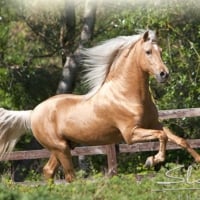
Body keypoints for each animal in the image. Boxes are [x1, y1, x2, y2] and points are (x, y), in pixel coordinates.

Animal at [0, 30, 200, 182]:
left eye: (161, 50)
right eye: (148, 51)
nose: (164, 74)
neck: (126, 95)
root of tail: (32, 112)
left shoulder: (154, 124)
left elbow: (178, 139)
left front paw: (197, 160)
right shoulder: (130, 134)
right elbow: (162, 137)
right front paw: (152, 160)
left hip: (64, 147)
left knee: (48, 171)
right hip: (60, 148)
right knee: (70, 176)